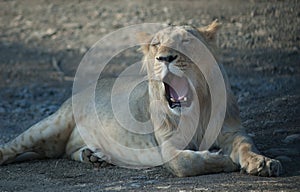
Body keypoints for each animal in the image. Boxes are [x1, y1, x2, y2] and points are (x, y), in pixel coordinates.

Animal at [0, 21, 284, 177]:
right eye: (156, 45)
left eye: (186, 42)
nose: (165, 58)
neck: (195, 108)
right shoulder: (168, 146)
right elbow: (187, 162)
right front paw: (222, 159)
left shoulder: (232, 131)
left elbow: (246, 145)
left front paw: (262, 162)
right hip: (49, 125)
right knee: (12, 147)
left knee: (67, 151)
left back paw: (92, 156)